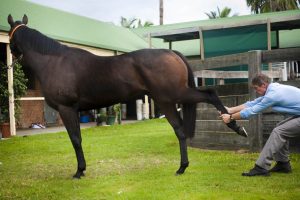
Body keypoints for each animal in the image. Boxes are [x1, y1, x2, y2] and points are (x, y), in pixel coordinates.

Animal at [8, 15, 247, 178]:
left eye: (10, 36)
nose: (10, 55)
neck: (54, 61)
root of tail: (171, 52)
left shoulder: (67, 109)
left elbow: (75, 139)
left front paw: (79, 171)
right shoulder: (73, 111)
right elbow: (79, 138)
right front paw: (82, 169)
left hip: (169, 98)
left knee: (206, 99)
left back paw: (233, 129)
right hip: (171, 99)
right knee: (185, 124)